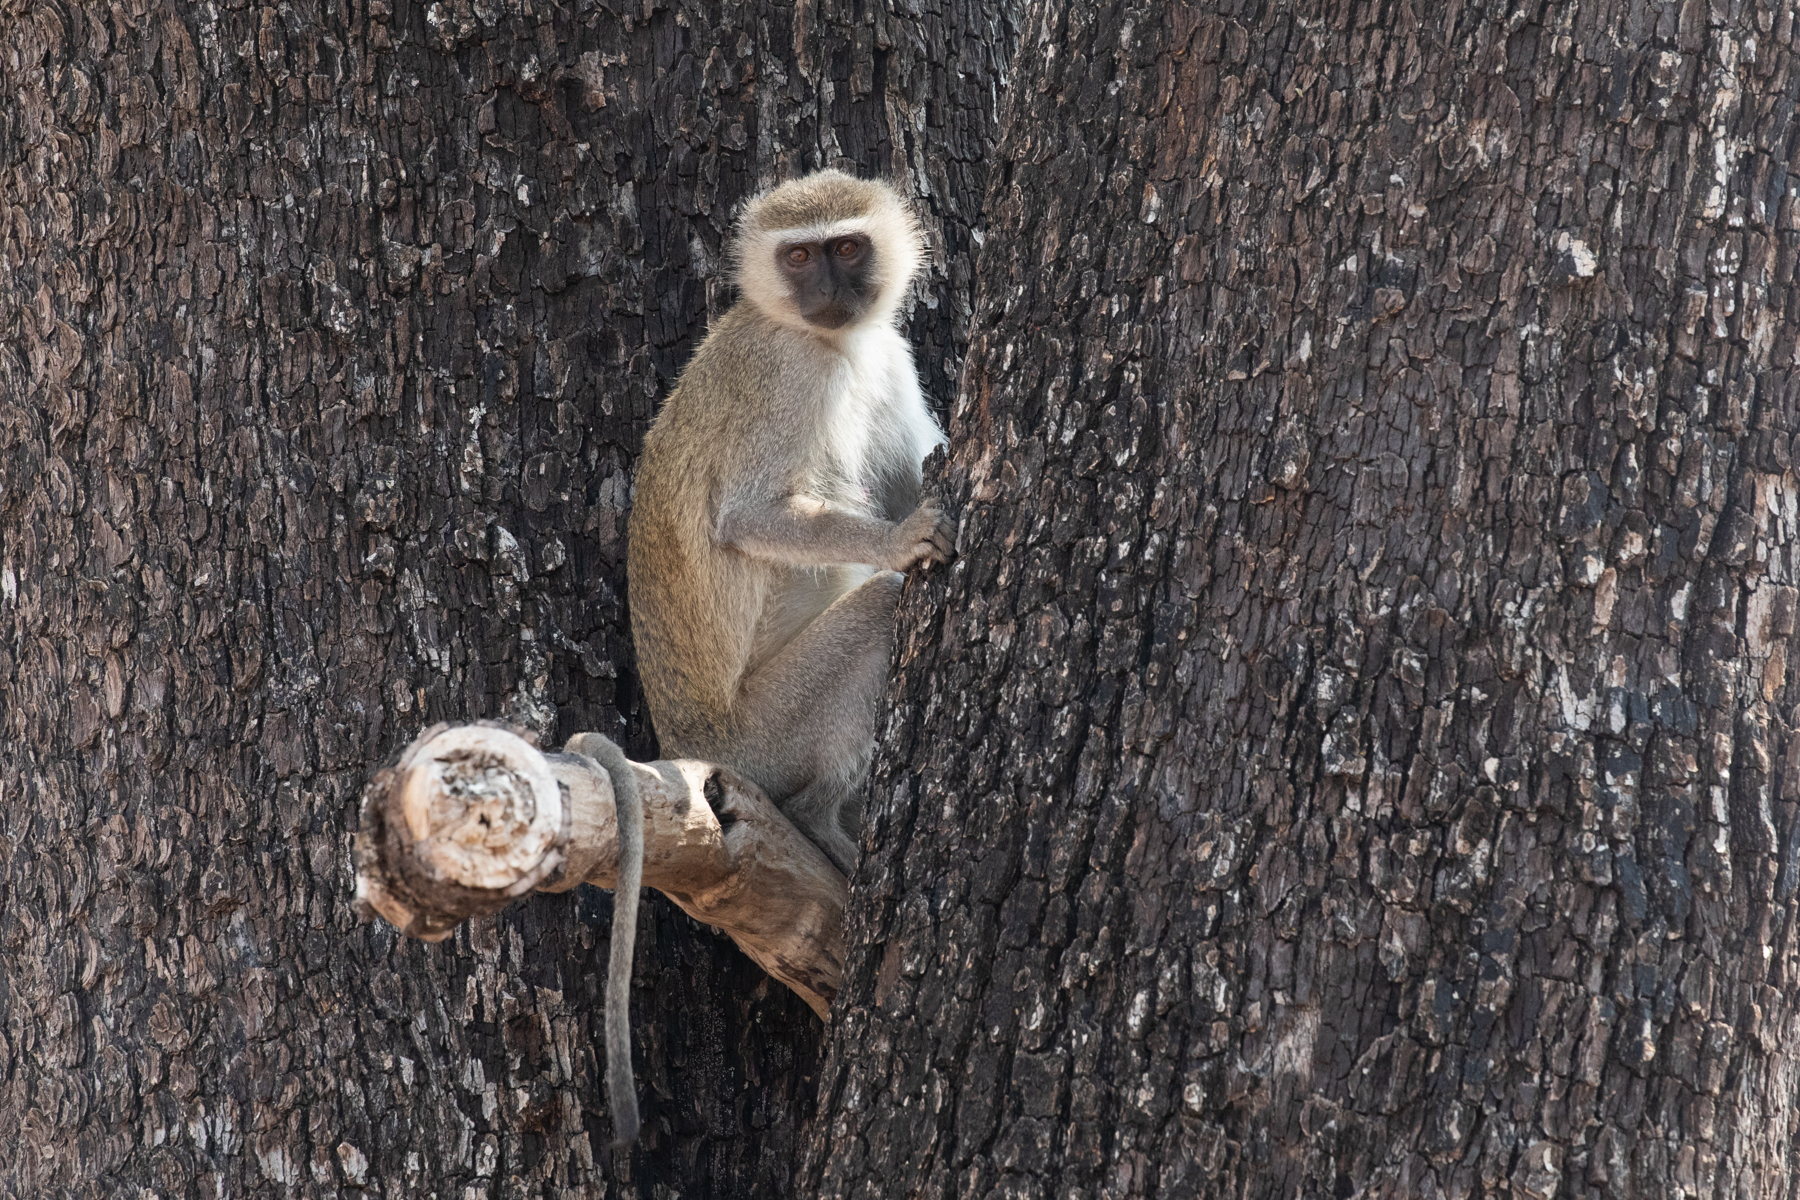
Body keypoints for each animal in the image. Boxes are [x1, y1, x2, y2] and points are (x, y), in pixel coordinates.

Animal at [626, 168, 953, 878]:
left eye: (848, 249)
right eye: (799, 256)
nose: (827, 289)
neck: (834, 344)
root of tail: (688, 745)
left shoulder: (889, 355)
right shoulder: (788, 375)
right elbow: (749, 517)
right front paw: (896, 541)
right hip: (766, 740)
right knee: (881, 606)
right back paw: (815, 817)